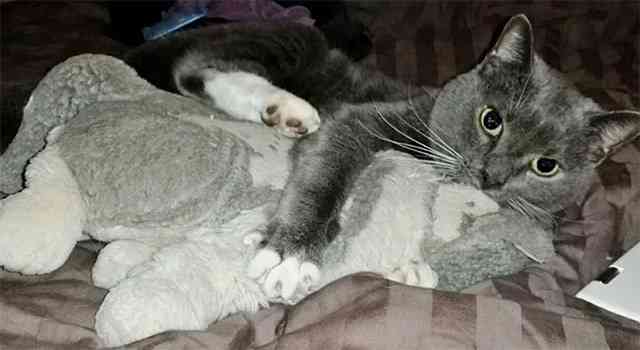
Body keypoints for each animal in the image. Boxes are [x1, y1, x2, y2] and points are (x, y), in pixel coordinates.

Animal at [126, 14, 640, 298]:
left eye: (545, 166)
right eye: (491, 120)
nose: (490, 177)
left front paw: (411, 270)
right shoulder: (365, 119)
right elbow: (327, 168)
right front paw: (289, 255)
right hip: (293, 42)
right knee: (195, 67)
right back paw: (288, 109)